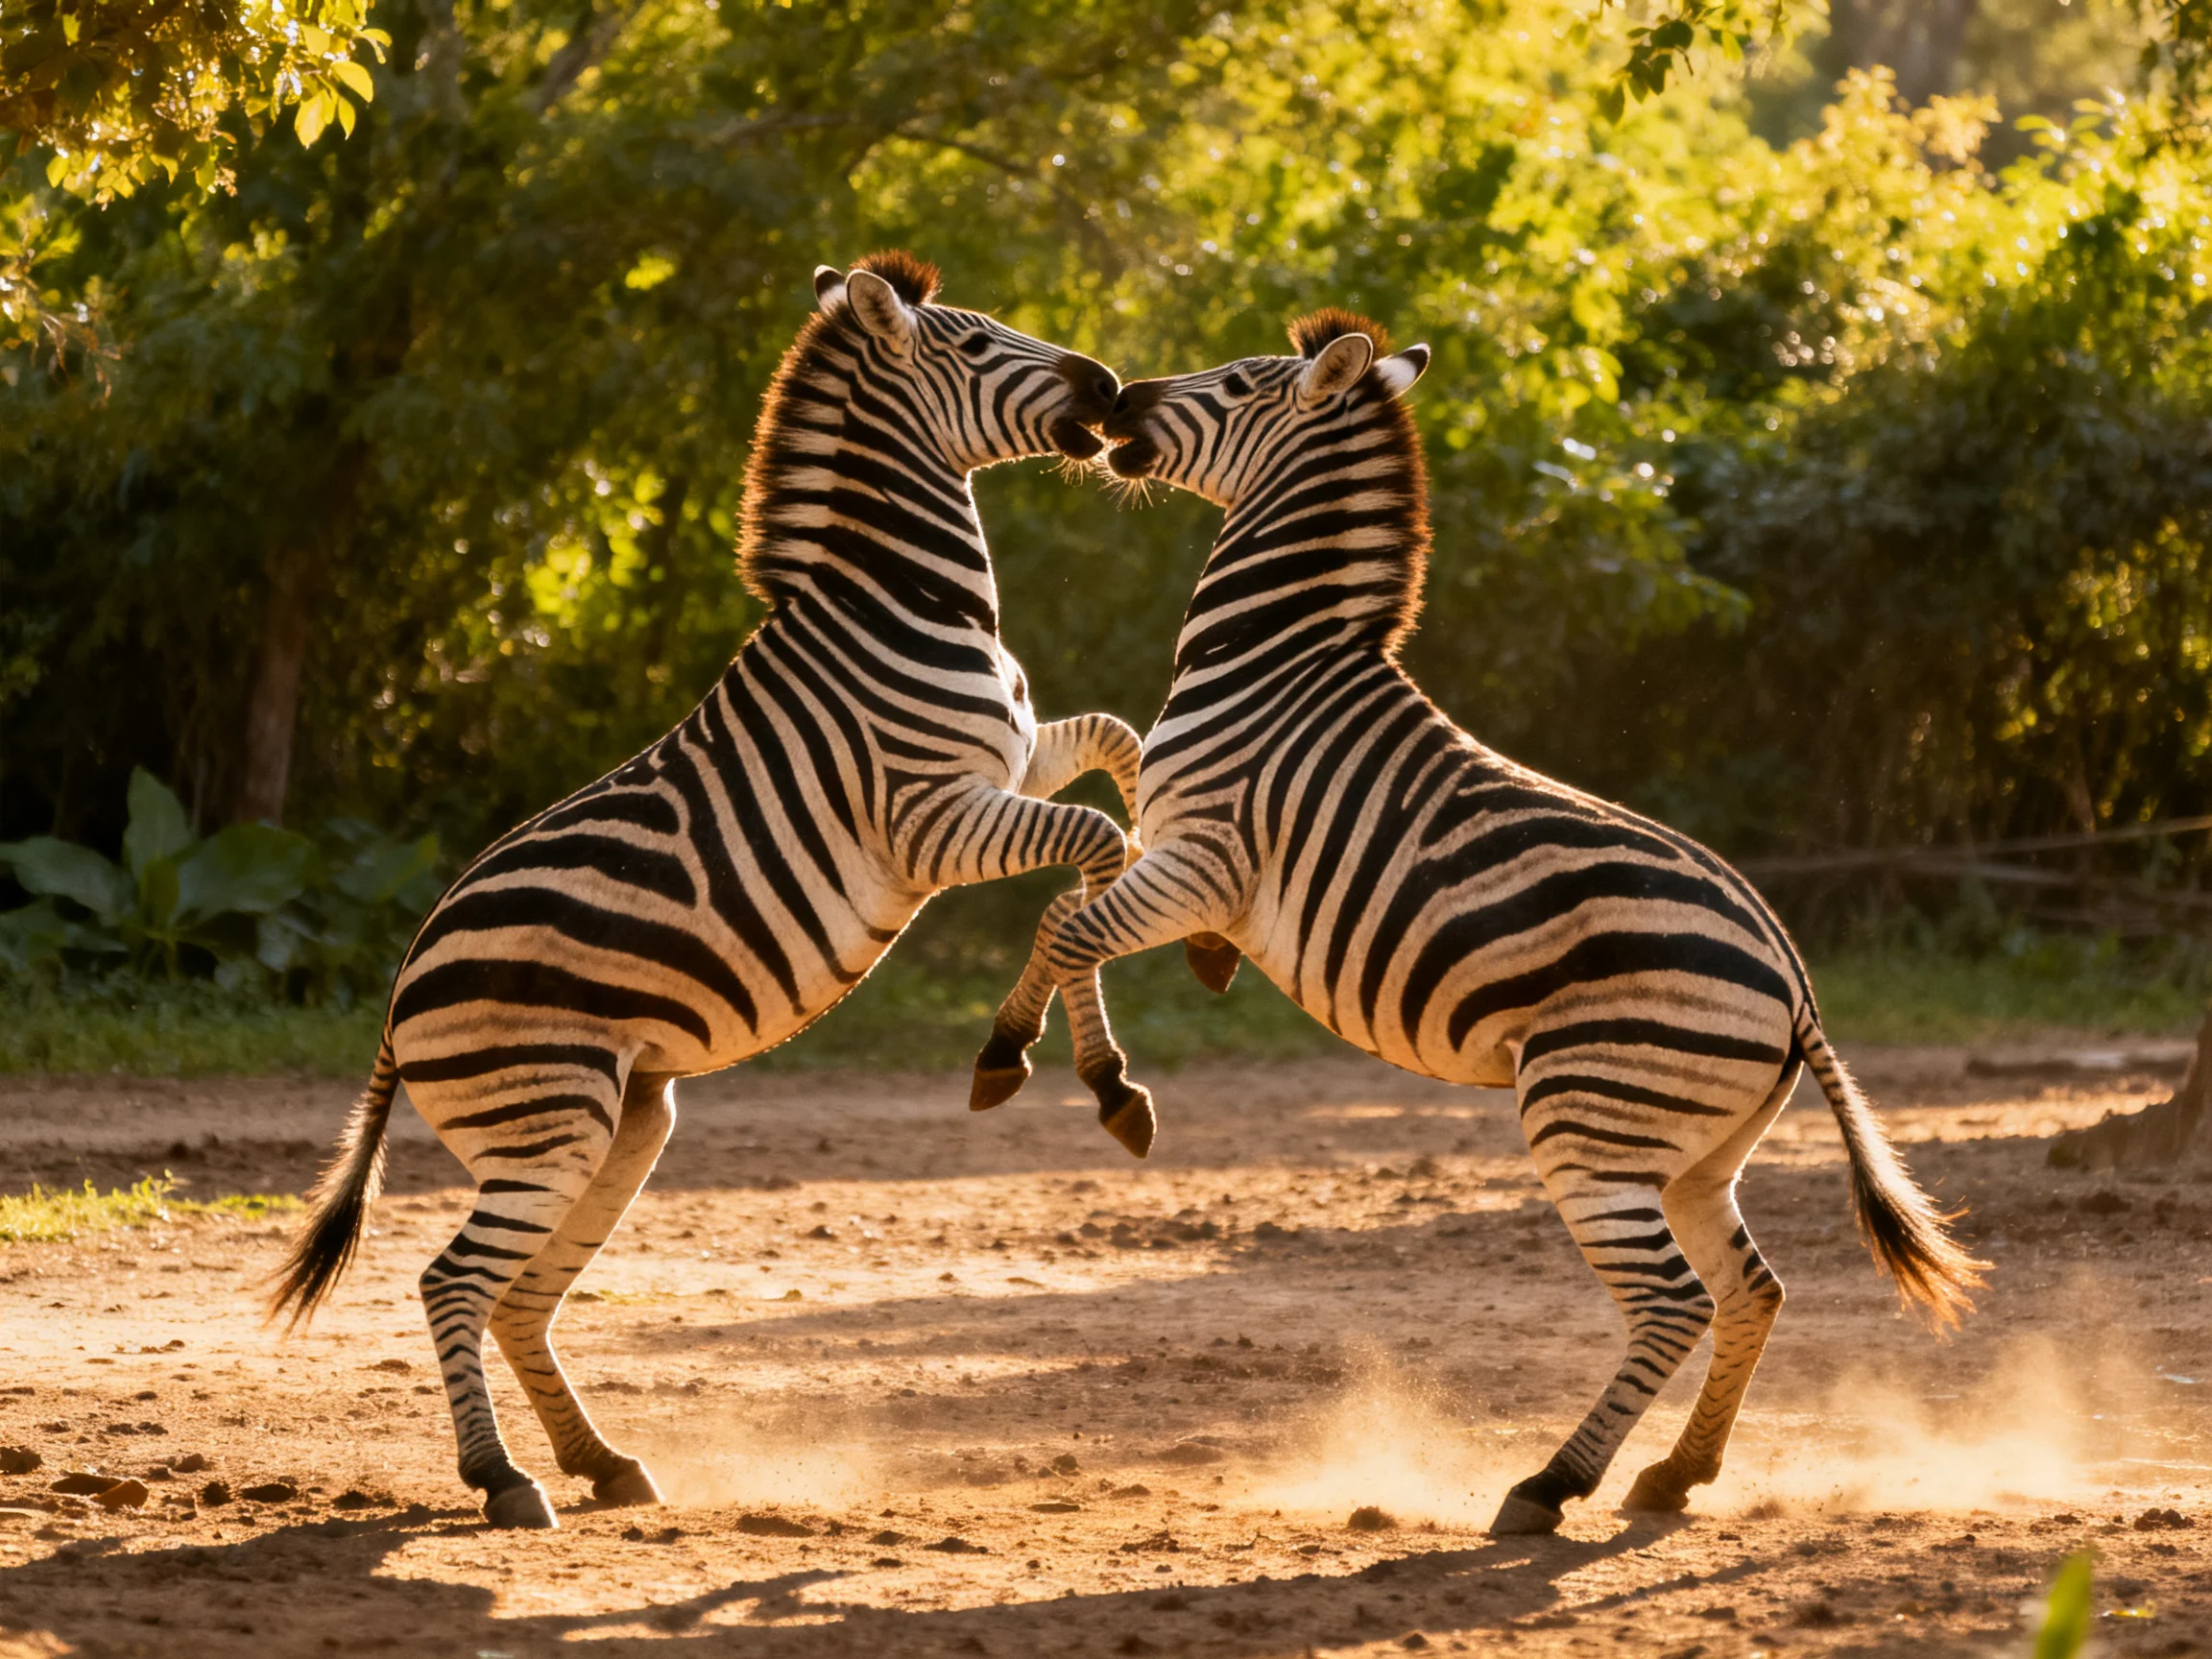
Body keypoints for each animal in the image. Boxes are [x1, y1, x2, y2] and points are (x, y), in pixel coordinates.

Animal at [270, 252, 1144, 1531]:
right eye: (979, 344)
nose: (1113, 385)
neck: (905, 608)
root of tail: (398, 993)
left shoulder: (1011, 766)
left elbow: (1121, 749)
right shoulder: (933, 819)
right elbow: (1094, 846)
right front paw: (1069, 1064)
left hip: (621, 1121)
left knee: (521, 1298)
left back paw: (600, 1463)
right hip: (551, 1123)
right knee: (453, 1282)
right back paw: (504, 1480)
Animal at [971, 308, 1985, 1536]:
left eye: (1235, 383)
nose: (1115, 398)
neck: (1271, 659)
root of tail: (1794, 987)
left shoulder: (1205, 857)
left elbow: (1067, 926)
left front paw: (1048, 1067)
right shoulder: (1177, 853)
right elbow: (1090, 871)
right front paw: (1153, 1023)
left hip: (1585, 1117)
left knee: (1674, 1303)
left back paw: (1551, 1484)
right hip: (1696, 1154)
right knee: (1754, 1289)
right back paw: (1675, 1475)